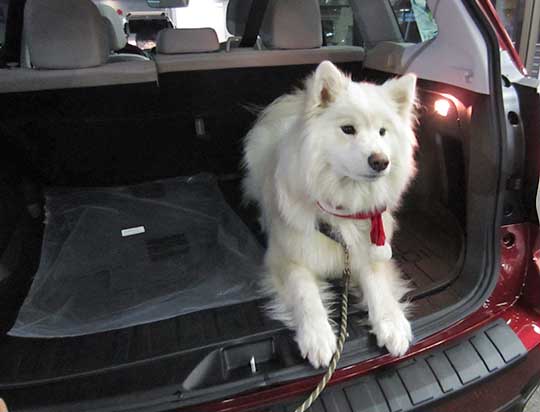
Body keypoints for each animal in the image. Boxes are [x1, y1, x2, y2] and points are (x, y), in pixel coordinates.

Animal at [244, 60, 418, 366]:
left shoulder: (368, 252)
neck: (342, 208)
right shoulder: (288, 259)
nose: (380, 161)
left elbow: (379, 287)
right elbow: (306, 294)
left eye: (383, 132)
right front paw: (317, 336)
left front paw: (392, 323)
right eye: (348, 129)